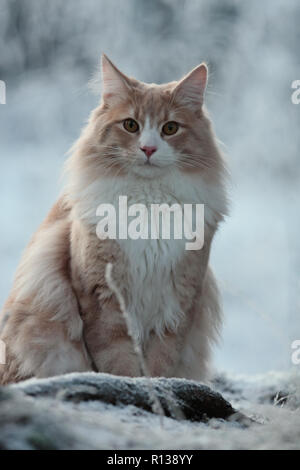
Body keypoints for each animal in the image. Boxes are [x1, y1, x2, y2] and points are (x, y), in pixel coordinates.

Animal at [0, 56, 227, 386]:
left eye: (170, 128)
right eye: (131, 125)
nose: (148, 149)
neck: (147, 204)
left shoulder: (180, 298)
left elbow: (160, 359)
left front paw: (156, 388)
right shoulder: (101, 296)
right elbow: (117, 358)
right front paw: (132, 384)